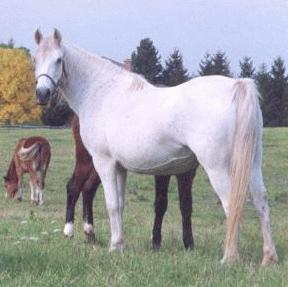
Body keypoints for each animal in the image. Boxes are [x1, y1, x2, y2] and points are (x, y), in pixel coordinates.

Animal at [63, 115, 198, 250]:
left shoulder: (188, 172)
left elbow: (186, 206)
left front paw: (189, 243)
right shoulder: (162, 170)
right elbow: (161, 204)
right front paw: (156, 242)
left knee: (88, 189)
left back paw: (90, 232)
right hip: (87, 158)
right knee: (73, 186)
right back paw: (68, 231)